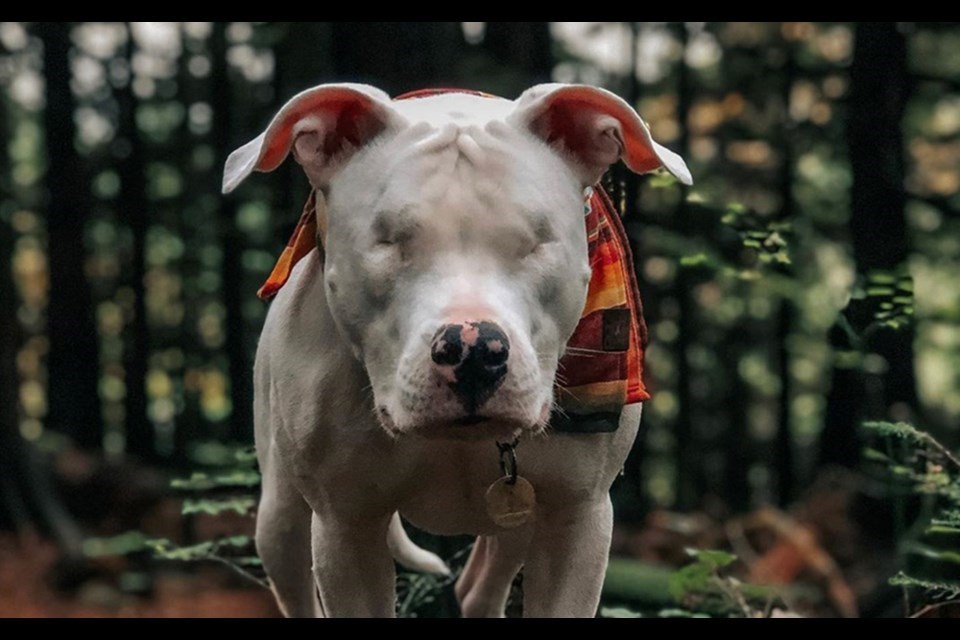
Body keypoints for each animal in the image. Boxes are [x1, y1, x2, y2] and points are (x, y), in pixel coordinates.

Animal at [223, 82, 688, 616]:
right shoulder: (346, 525)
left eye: (534, 242)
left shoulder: (577, 519)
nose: (474, 351)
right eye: (389, 242)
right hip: (280, 516)